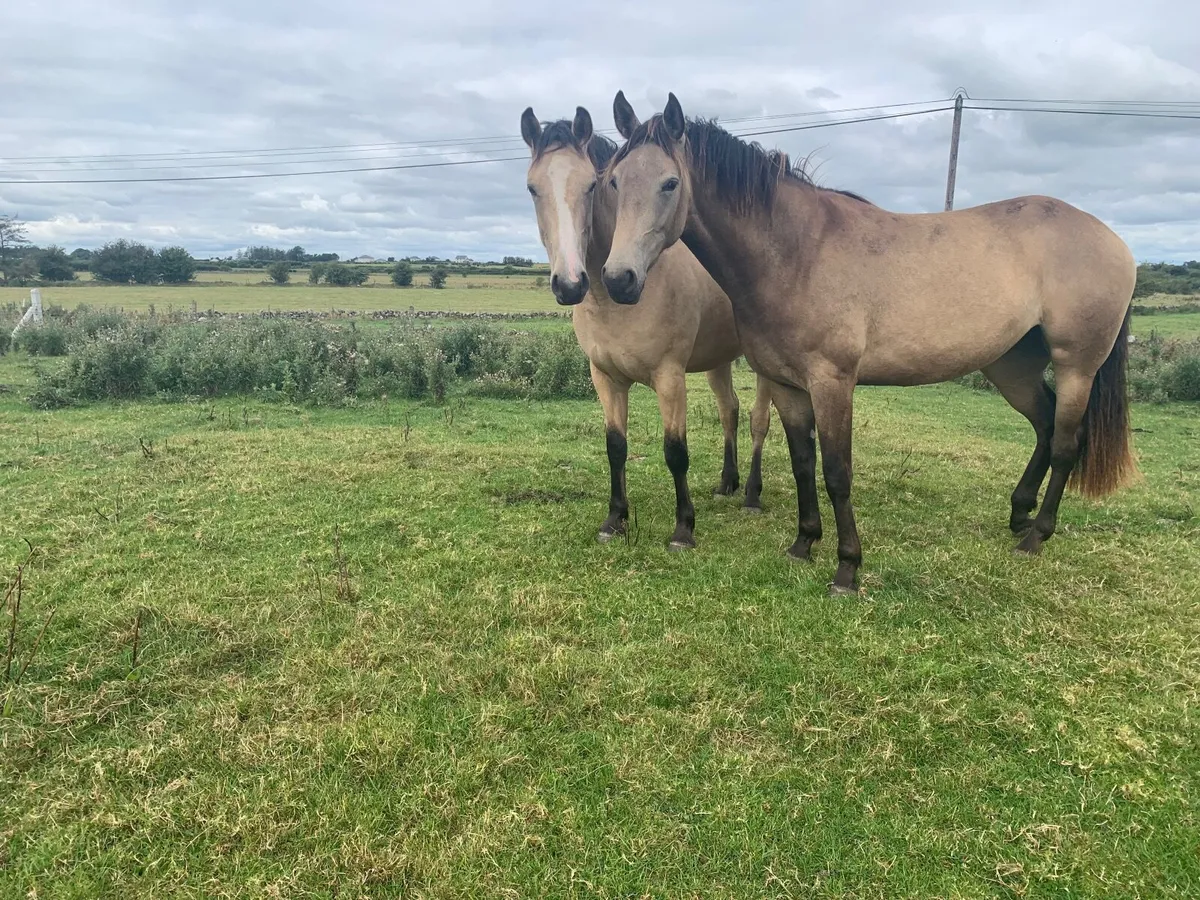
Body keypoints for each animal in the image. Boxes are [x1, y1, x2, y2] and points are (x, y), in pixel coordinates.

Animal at [520, 104, 779, 550]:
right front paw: (615, 520)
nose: (570, 284)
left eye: (591, 185)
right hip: (718, 359)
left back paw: (751, 495)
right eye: (533, 188)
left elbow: (675, 451)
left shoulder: (669, 377)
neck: (618, 300)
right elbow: (615, 446)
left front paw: (683, 529)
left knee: (757, 420)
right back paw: (727, 483)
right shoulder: (605, 378)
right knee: (729, 410)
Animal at [601, 91, 1138, 594]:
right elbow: (803, 464)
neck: (797, 253)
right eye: (614, 181)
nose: (619, 279)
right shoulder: (787, 386)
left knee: (1067, 442)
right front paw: (803, 543)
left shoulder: (833, 382)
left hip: (1076, 366)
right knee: (1045, 425)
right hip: (1012, 367)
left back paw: (1036, 536)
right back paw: (1019, 514)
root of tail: (1114, 241)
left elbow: (837, 472)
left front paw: (847, 568)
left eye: (669, 183)